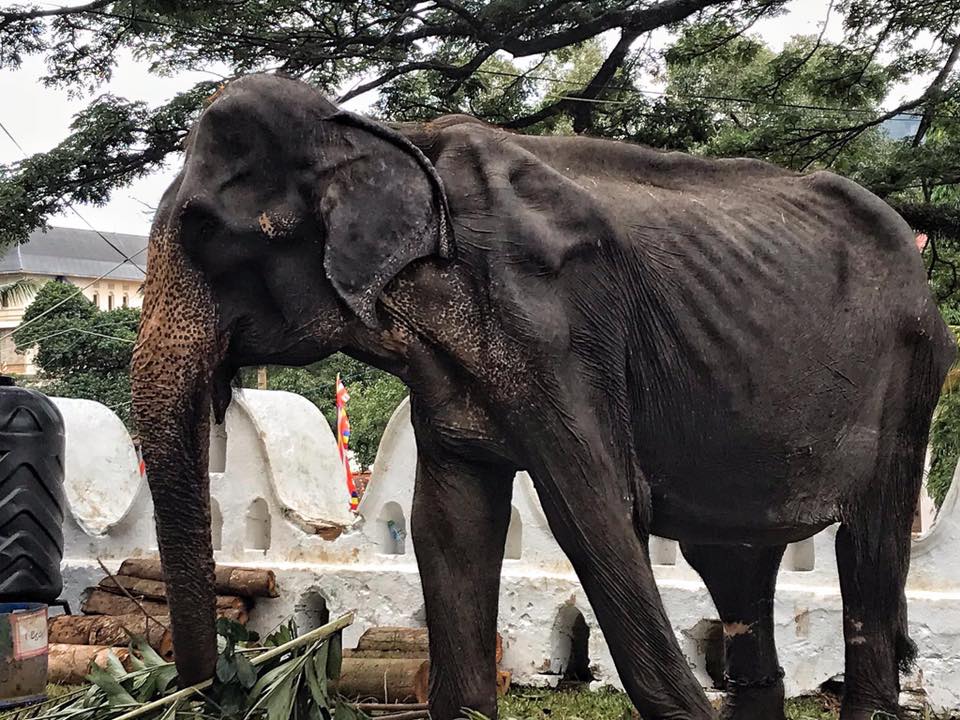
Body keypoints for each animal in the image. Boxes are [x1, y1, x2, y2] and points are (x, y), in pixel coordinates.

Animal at [131, 72, 955, 720]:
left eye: (202, 229)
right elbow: (449, 525)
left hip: (912, 372)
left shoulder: (557, 323)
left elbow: (594, 512)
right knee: (734, 562)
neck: (390, 137)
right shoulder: (449, 367)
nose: (210, 686)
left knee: (869, 542)